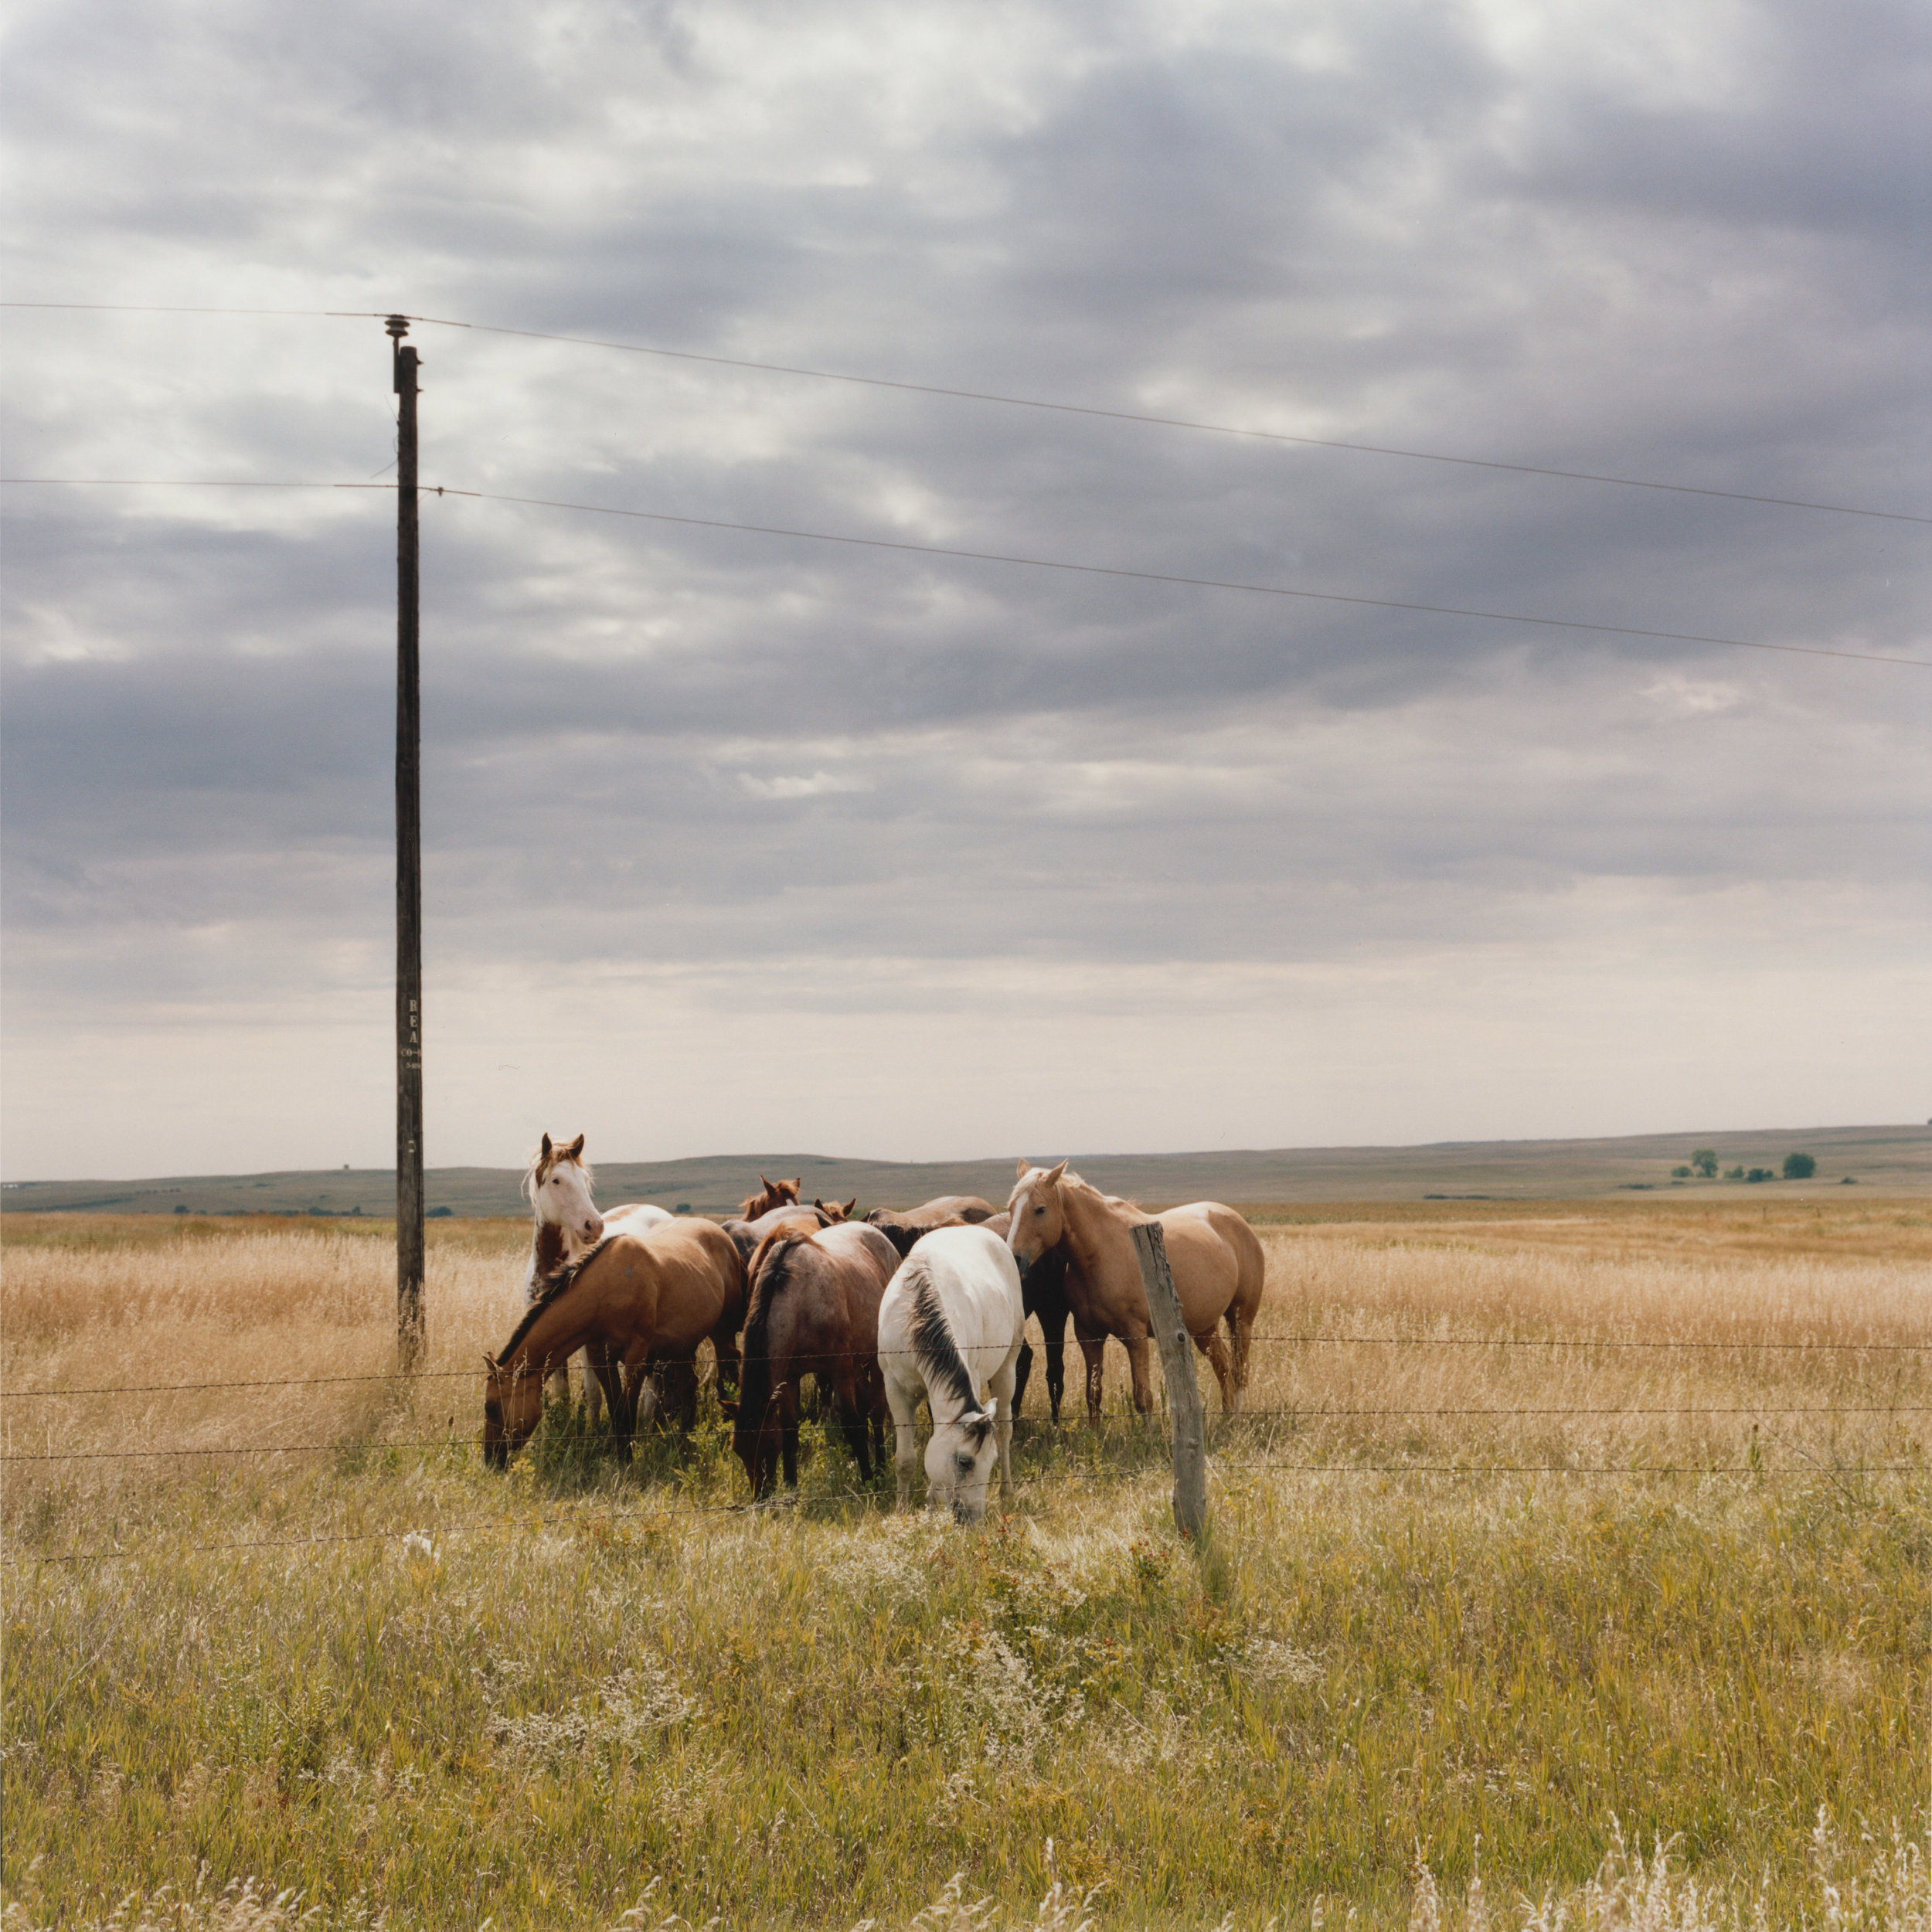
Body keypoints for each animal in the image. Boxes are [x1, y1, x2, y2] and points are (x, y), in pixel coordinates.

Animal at [483, 1221, 746, 1461]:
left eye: (490, 1407)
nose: (491, 1458)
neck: (607, 1289)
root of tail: (721, 1233)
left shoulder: (636, 1355)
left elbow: (627, 1412)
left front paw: (628, 1460)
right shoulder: (599, 1355)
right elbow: (616, 1410)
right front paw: (621, 1456)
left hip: (722, 1333)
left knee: (727, 1374)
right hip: (682, 1346)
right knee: (689, 1386)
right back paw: (683, 1439)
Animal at [726, 1221, 900, 1492]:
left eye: (769, 1446)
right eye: (738, 1450)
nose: (762, 1496)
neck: (800, 1301)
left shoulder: (839, 1370)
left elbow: (851, 1423)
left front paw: (868, 1479)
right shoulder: (789, 1379)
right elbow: (791, 1431)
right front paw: (791, 1488)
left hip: (875, 1357)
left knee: (876, 1408)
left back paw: (881, 1466)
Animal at [877, 1221, 1028, 1522]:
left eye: (991, 1461)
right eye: (965, 1462)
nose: (974, 1522)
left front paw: (931, 1502)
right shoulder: (895, 1389)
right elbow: (906, 1460)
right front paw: (903, 1511)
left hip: (1008, 1367)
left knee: (1006, 1428)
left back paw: (1007, 1492)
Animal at [1005, 1151, 1260, 1430]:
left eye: (1040, 1209)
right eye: (1011, 1208)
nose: (1014, 1257)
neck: (1099, 1252)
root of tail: (1236, 1220)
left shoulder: (1135, 1337)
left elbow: (1142, 1397)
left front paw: (1150, 1434)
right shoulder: (1088, 1335)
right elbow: (1093, 1394)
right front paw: (1096, 1434)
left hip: (1240, 1319)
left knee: (1240, 1371)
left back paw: (1238, 1417)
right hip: (1204, 1327)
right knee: (1224, 1368)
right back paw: (1227, 1418)